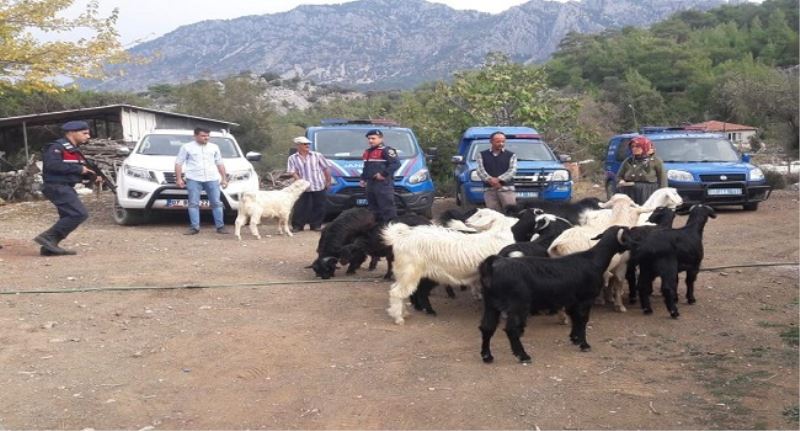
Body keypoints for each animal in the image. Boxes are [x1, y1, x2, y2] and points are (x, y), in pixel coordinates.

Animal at [476, 226, 632, 364]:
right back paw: (523, 356)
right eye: (629, 234)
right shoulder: (585, 299)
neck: (593, 260)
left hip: (491, 303)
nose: (635, 245)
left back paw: (487, 356)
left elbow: (574, 318)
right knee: (512, 329)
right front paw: (584, 344)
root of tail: (493, 264)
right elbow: (582, 319)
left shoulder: (572, 301)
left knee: (487, 327)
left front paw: (574, 339)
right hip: (518, 305)